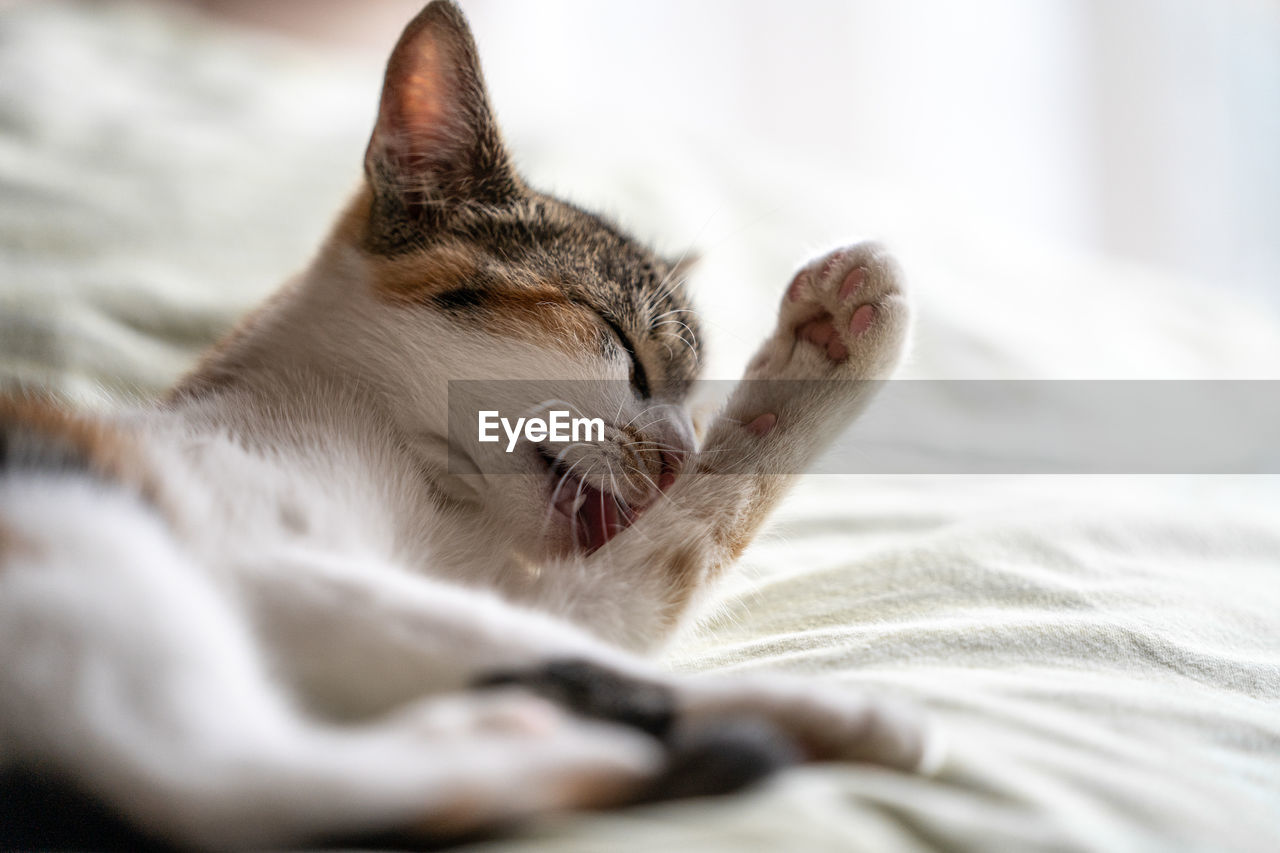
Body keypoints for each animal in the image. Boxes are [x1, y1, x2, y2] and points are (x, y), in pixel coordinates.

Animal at [0, 3, 926, 845]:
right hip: (93, 534)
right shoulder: (265, 552)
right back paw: (547, 742)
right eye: (626, 348)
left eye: (695, 402)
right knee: (212, 777)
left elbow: (637, 583)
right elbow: (607, 614)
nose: (677, 453)